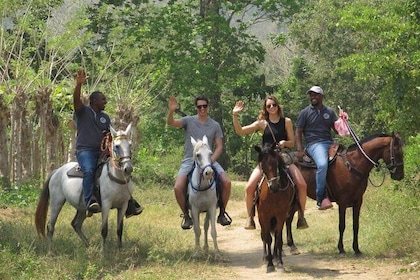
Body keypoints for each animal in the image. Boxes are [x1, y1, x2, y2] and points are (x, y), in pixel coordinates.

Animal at [35, 123, 133, 253]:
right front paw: (102, 253)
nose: (128, 168)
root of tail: (57, 171)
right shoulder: (106, 205)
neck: (117, 178)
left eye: (130, 145)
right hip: (56, 202)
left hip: (81, 207)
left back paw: (88, 245)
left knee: (75, 224)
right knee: (50, 226)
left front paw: (120, 251)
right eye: (117, 146)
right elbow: (104, 230)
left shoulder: (123, 205)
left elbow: (119, 230)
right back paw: (51, 251)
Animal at [253, 144, 296, 274]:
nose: (274, 186)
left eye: (275, 163)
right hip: (261, 218)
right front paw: (270, 265)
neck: (273, 195)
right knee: (263, 235)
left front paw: (280, 264)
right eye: (262, 165)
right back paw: (266, 258)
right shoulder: (264, 215)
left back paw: (275, 257)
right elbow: (268, 239)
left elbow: (278, 239)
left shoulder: (281, 215)